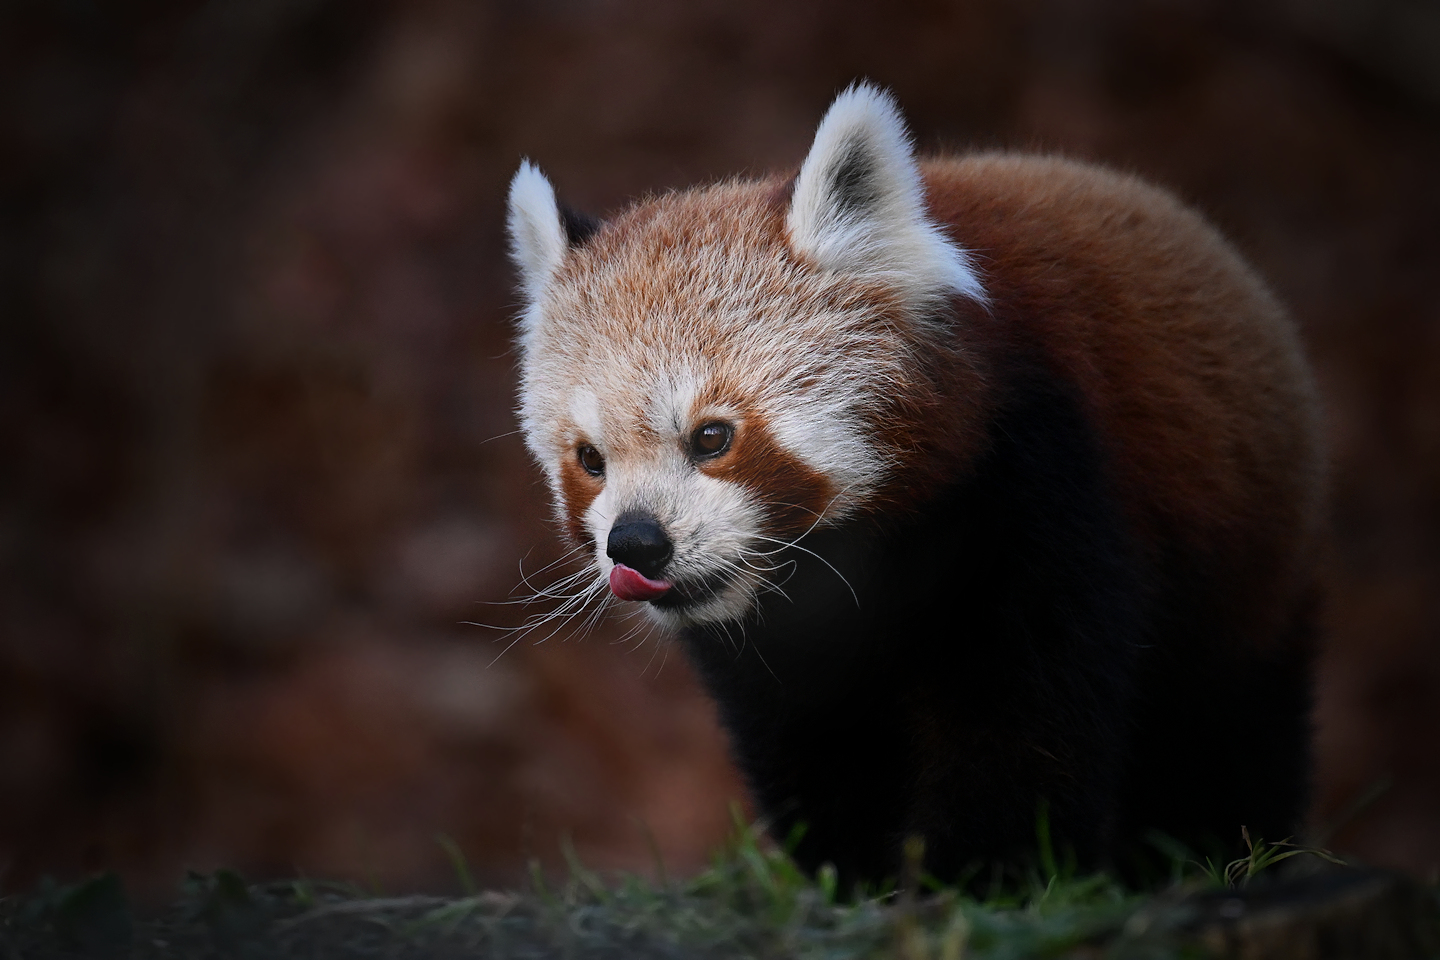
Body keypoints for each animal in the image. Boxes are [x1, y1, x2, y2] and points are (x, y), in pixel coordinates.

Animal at [506, 82, 1324, 886]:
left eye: (711, 437)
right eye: (591, 460)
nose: (636, 543)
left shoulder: (1045, 482)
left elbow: (1024, 708)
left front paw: (989, 870)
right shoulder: (773, 652)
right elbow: (813, 742)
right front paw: (856, 873)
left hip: (1247, 575)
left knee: (1226, 732)